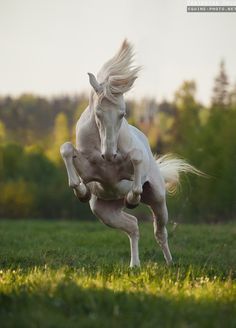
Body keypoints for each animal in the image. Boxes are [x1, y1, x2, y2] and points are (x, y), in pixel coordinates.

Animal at [60, 40, 201, 266]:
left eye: (123, 113)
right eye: (98, 112)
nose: (109, 154)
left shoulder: (133, 165)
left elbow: (136, 159)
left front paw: (133, 199)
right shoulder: (88, 170)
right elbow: (66, 149)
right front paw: (81, 192)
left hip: (158, 199)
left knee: (160, 232)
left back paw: (170, 263)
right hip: (105, 212)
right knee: (133, 226)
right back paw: (135, 265)